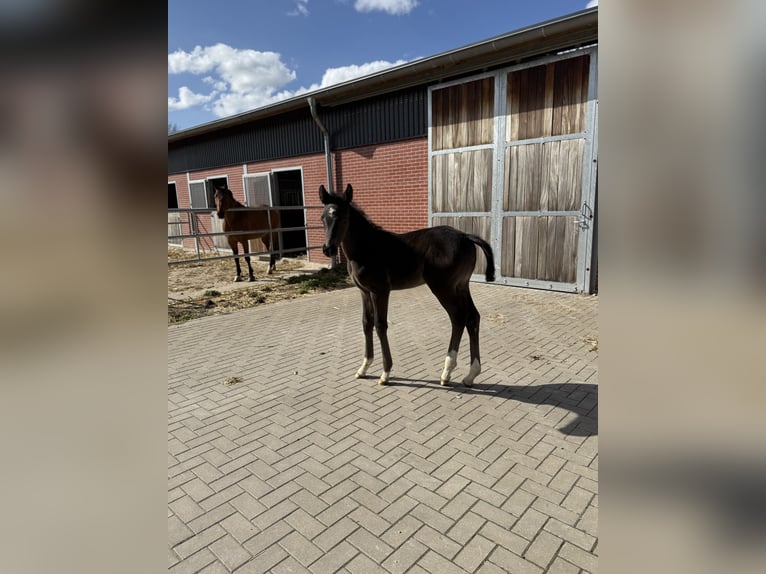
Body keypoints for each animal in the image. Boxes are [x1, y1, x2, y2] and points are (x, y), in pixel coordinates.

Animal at [320, 183, 496, 387]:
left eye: (343, 217)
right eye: (323, 218)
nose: (328, 249)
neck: (365, 249)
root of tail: (465, 236)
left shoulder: (380, 291)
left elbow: (380, 325)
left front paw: (385, 372)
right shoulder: (364, 291)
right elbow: (366, 323)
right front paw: (363, 368)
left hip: (443, 287)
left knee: (458, 317)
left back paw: (447, 372)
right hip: (461, 285)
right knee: (472, 317)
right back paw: (470, 374)